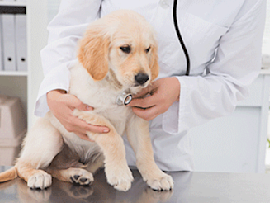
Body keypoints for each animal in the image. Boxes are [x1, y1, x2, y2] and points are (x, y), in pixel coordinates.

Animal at [0, 9, 173, 191]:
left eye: (147, 49)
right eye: (125, 48)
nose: (143, 78)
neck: (116, 88)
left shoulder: (136, 118)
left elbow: (145, 150)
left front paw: (156, 175)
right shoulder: (82, 112)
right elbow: (113, 138)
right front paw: (120, 174)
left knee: (53, 168)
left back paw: (76, 175)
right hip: (50, 136)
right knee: (23, 165)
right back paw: (37, 176)